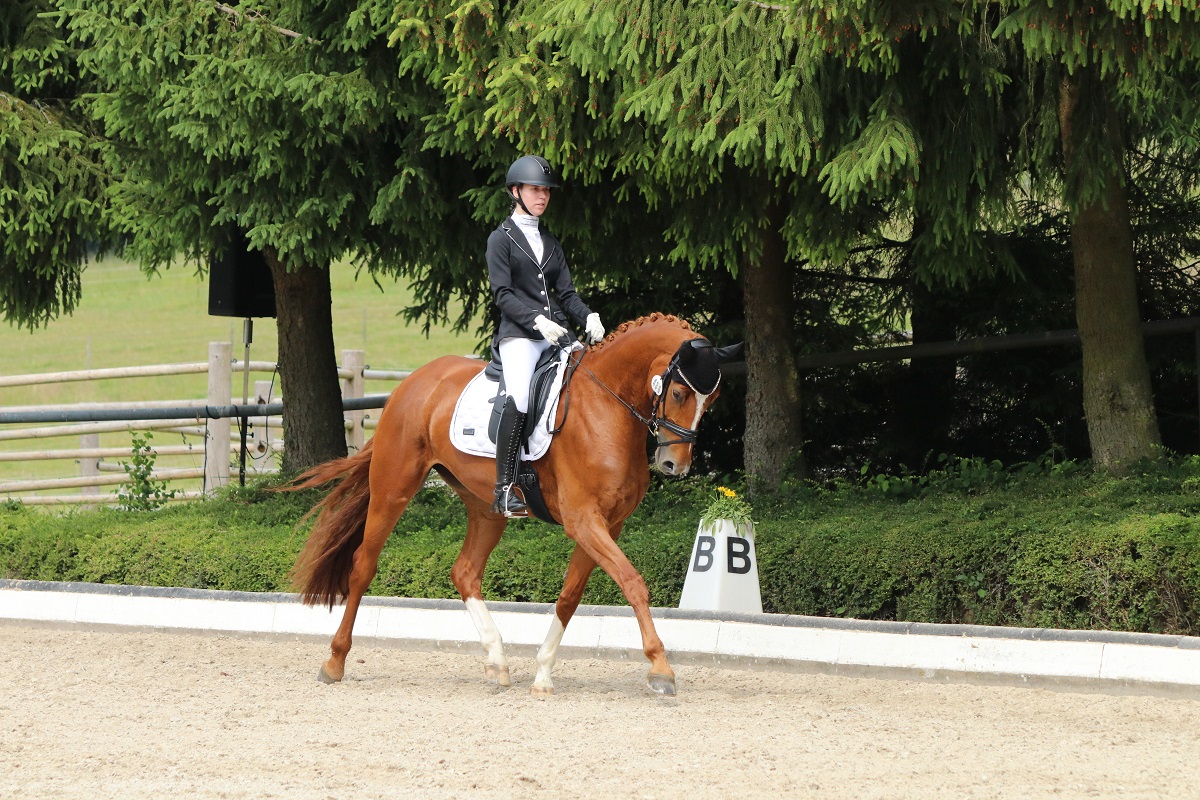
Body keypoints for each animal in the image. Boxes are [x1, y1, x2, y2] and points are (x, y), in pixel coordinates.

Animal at [289, 311, 734, 695]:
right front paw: (661, 669)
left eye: (711, 400)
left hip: (486, 508)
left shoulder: (608, 523)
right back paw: (334, 662)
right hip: (392, 488)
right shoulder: (583, 520)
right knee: (363, 566)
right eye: (678, 392)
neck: (607, 407)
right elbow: (633, 583)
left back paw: (498, 661)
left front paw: (543, 674)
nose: (674, 465)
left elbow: (570, 596)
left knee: (465, 571)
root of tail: (412, 381)